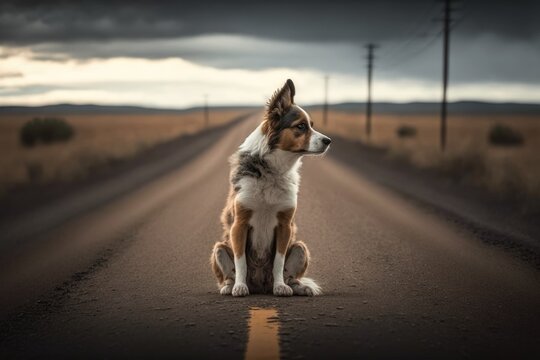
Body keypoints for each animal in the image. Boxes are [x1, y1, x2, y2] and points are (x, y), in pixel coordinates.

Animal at [210, 80, 330, 296]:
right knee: (228, 271)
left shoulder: (284, 225)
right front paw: (239, 287)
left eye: (311, 126)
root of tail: (259, 285)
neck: (272, 169)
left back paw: (297, 287)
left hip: (300, 247)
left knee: (291, 274)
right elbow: (240, 262)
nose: (328, 141)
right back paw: (230, 286)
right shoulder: (239, 225)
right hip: (219, 247)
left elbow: (278, 262)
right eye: (301, 126)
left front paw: (280, 286)